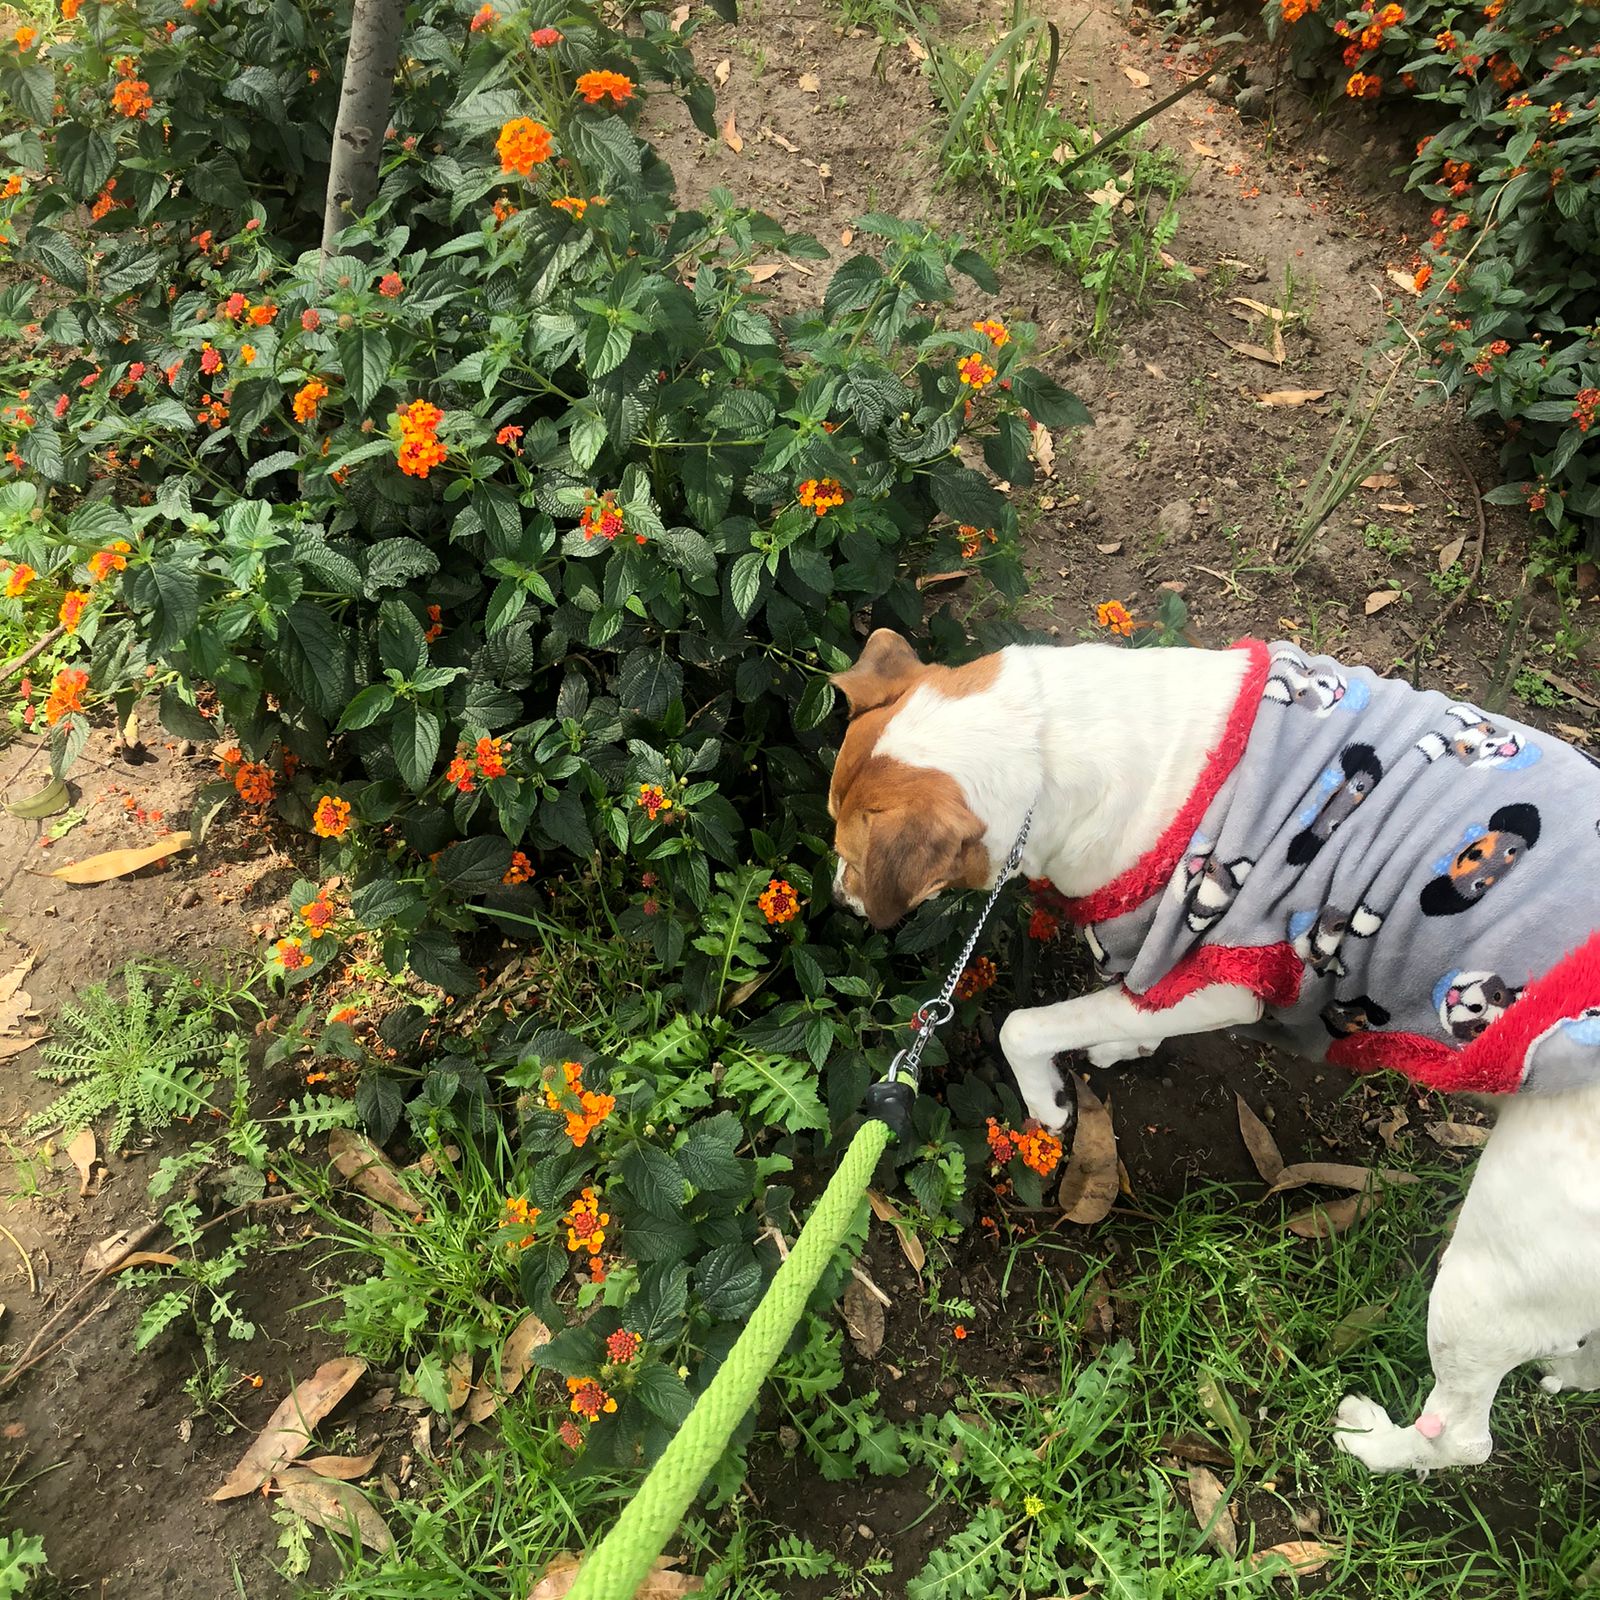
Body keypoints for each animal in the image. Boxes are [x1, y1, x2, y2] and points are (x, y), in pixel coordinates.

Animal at [832, 630, 1600, 1478]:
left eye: (848, 853)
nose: (836, 897)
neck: (1050, 741)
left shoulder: (1230, 976)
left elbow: (1025, 1027)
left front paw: (1049, 1097)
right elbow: (1121, 1009)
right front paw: (1120, 1040)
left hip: (1492, 1264)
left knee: (1465, 1435)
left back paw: (1371, 1443)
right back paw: (1561, 1370)